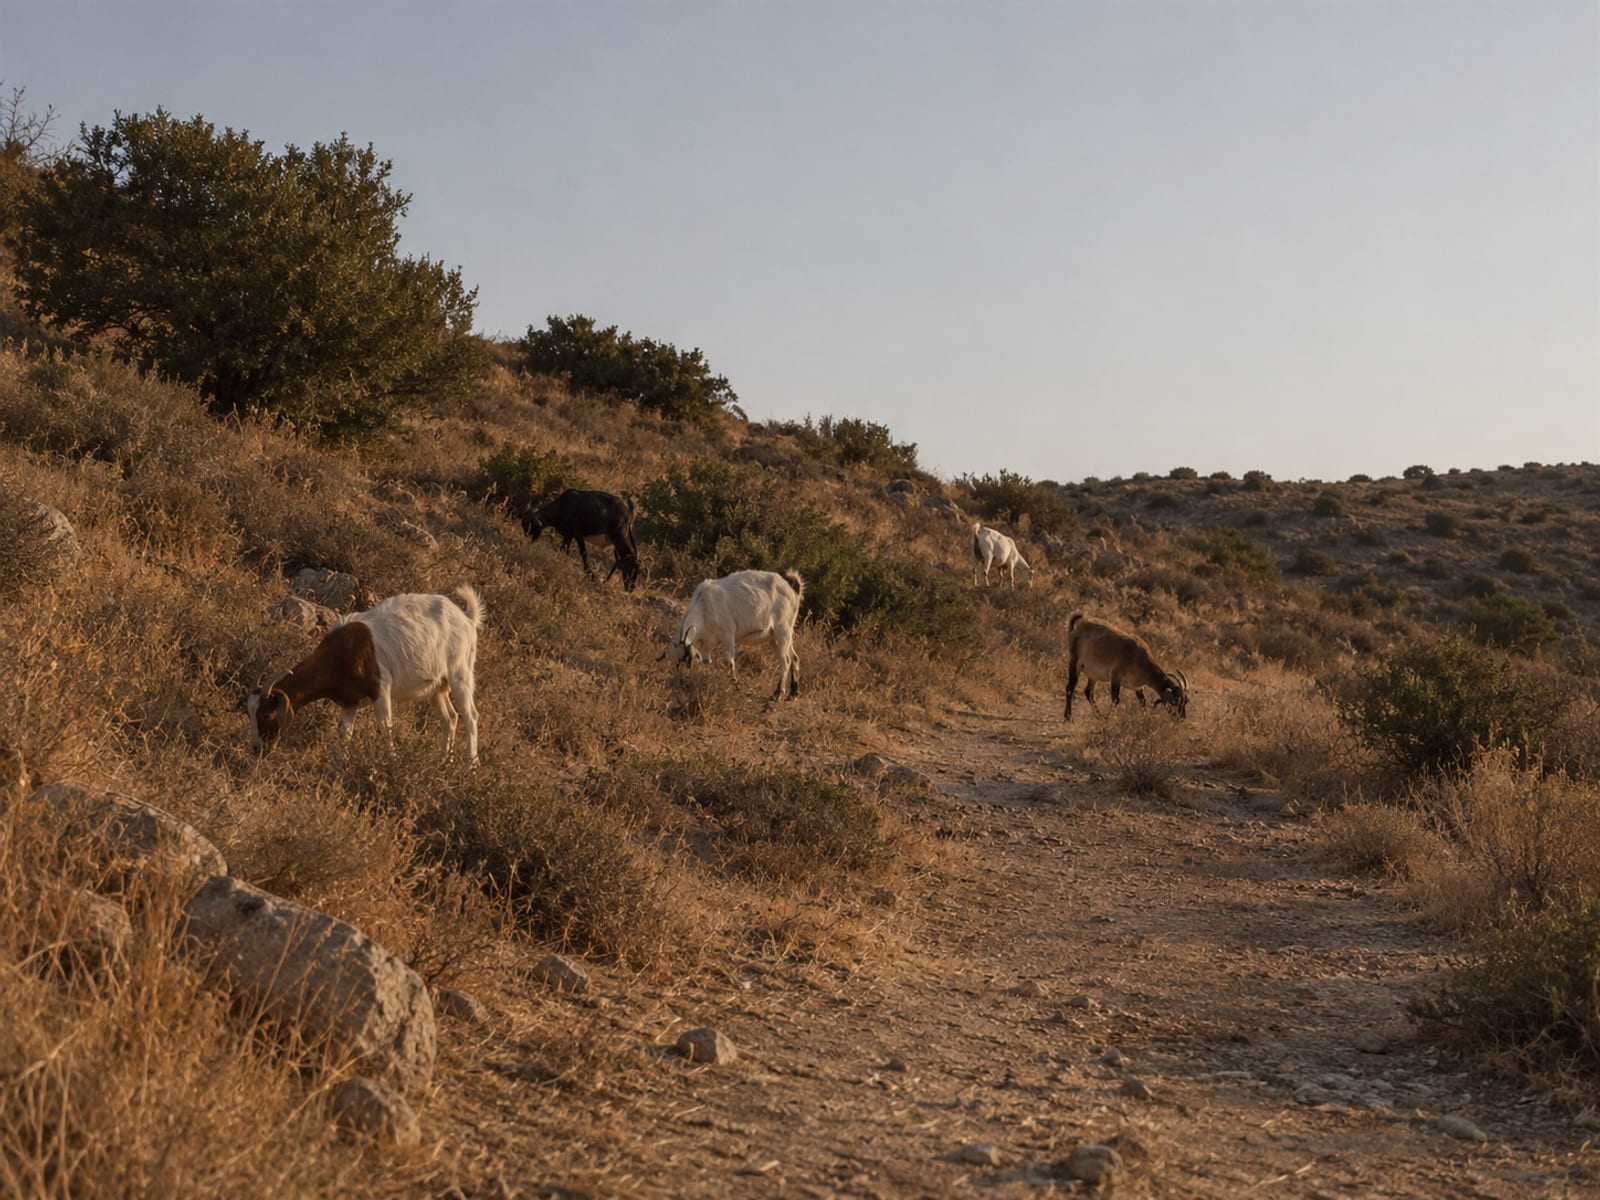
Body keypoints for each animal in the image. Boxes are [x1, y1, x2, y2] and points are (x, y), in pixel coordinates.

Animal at [248, 586, 483, 763]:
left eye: (266, 714)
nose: (258, 749)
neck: (340, 653)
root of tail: (467, 619)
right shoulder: (349, 700)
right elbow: (344, 732)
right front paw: (341, 762)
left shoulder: (380, 687)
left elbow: (385, 727)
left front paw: (391, 762)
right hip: (435, 687)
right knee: (450, 717)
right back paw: (445, 760)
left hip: (460, 673)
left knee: (470, 715)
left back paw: (470, 764)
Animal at [665, 569, 804, 699]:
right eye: (674, 662)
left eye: (685, 659)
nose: (681, 681)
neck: (704, 605)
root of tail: (792, 590)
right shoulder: (709, 639)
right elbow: (706, 660)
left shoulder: (728, 634)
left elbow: (729, 661)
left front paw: (736, 686)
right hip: (774, 637)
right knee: (794, 657)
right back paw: (794, 692)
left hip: (782, 630)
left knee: (785, 660)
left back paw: (778, 693)